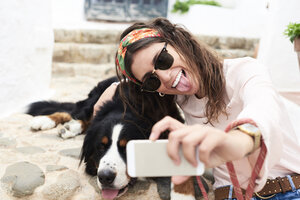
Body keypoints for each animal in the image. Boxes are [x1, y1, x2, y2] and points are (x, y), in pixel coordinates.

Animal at [27, 76, 207, 200]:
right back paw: (48, 122)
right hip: (93, 101)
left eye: (128, 148)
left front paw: (183, 195)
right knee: (76, 112)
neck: (127, 108)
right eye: (100, 147)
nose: (105, 177)